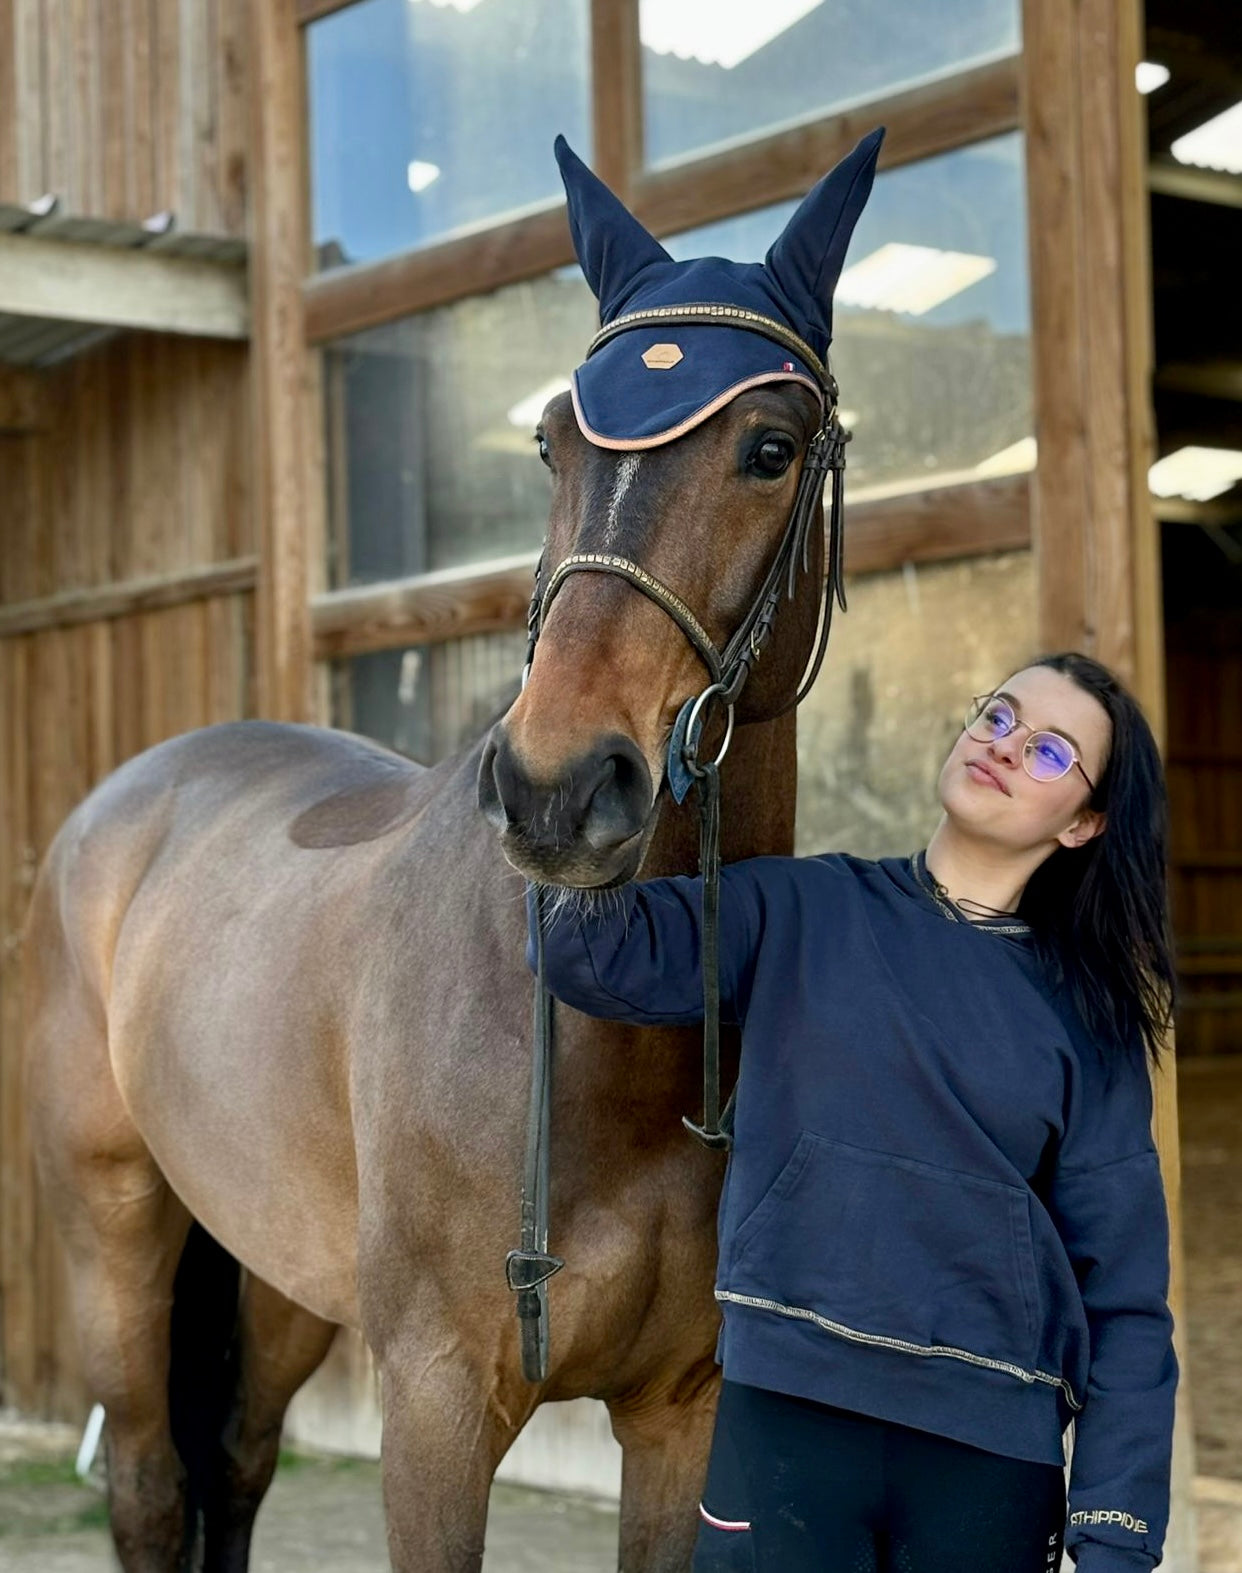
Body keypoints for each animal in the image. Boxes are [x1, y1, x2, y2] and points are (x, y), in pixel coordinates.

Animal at [26, 138, 886, 1573]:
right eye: (551, 441)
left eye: (769, 449)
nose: (556, 788)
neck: (607, 1038)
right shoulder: (434, 1402)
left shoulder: (681, 1417)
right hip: (111, 1234)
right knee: (148, 1487)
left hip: (276, 1268)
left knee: (237, 1464)